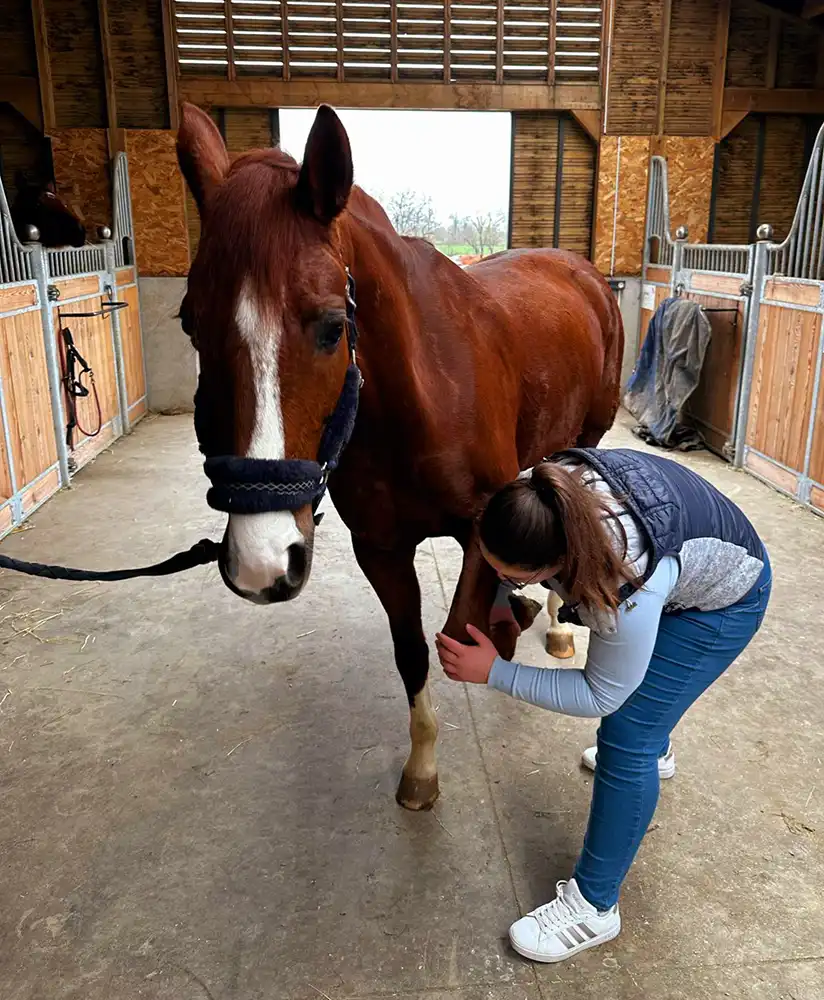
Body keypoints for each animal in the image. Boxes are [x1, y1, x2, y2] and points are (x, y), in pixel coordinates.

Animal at [176, 103, 622, 811]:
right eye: (191, 323)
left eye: (333, 326)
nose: (261, 561)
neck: (418, 397)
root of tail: (579, 271)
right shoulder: (381, 550)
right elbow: (413, 651)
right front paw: (422, 767)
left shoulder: (482, 526)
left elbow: (466, 623)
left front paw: (514, 620)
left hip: (588, 435)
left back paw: (551, 624)